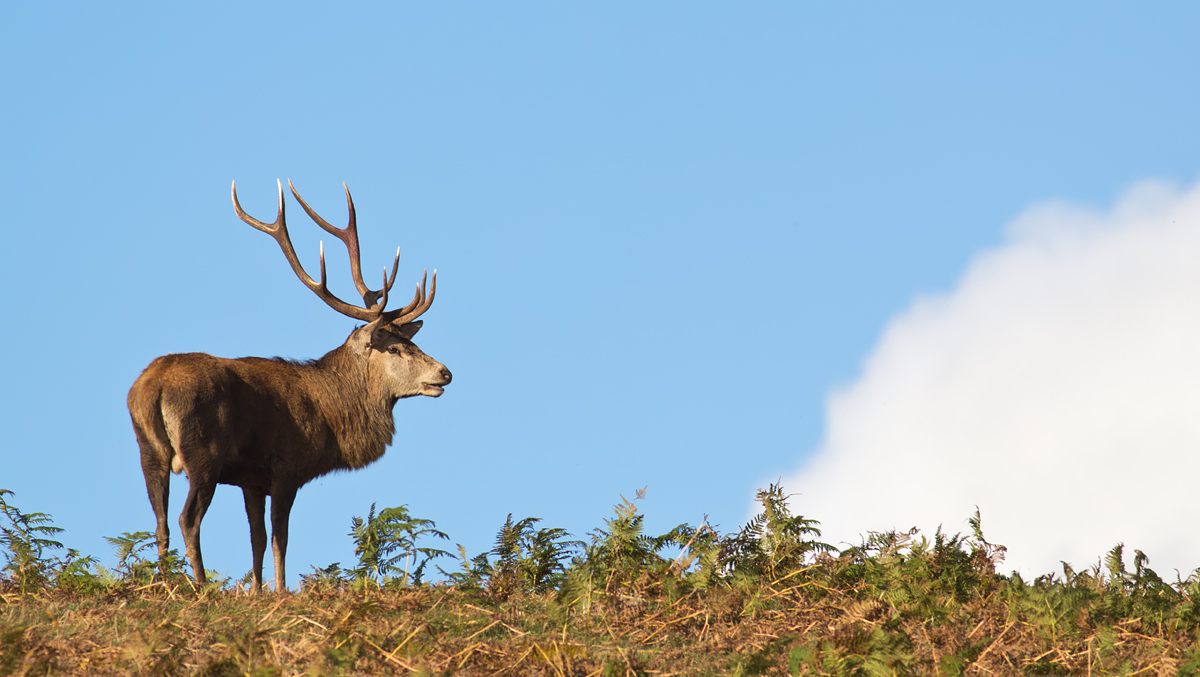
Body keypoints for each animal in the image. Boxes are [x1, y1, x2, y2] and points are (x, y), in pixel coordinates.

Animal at [127, 181, 451, 592]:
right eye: (394, 347)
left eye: (410, 340)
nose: (444, 373)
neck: (329, 416)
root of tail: (152, 388)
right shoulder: (286, 468)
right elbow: (280, 536)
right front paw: (280, 591)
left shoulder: (251, 480)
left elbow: (257, 537)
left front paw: (256, 591)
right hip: (203, 450)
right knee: (188, 519)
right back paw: (199, 587)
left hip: (148, 450)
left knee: (160, 522)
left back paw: (166, 584)